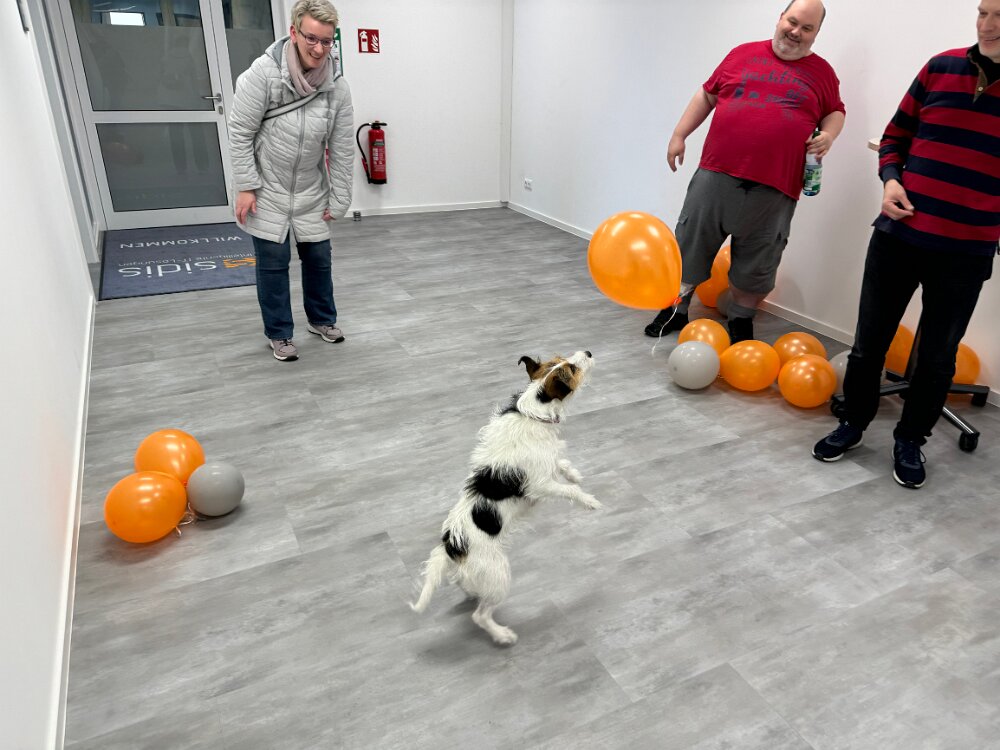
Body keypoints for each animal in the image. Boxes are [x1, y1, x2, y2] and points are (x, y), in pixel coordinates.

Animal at [410, 350, 600, 645]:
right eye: (573, 368)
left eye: (563, 360)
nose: (588, 352)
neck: (533, 412)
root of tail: (452, 547)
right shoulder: (540, 484)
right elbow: (568, 490)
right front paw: (589, 501)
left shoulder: (547, 461)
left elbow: (560, 462)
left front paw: (574, 473)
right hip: (498, 575)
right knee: (480, 616)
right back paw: (502, 635)